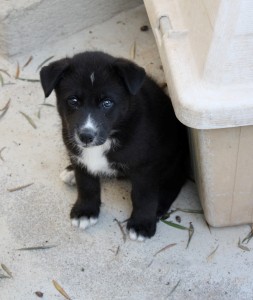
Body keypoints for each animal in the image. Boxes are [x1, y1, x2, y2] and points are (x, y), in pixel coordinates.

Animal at [38, 51, 187, 241]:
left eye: (107, 103)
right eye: (73, 100)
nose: (86, 136)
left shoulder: (145, 167)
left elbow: (143, 196)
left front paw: (142, 224)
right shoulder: (79, 156)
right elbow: (86, 184)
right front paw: (85, 211)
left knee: (175, 180)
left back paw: (159, 206)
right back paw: (70, 171)